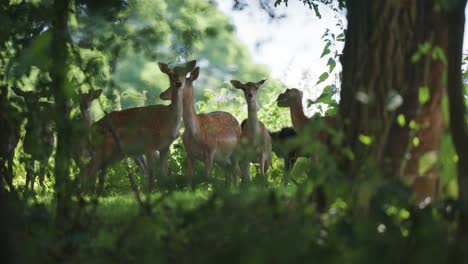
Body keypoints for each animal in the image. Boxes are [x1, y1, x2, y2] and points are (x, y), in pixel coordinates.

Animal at [82, 59, 196, 193]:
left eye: (185, 72)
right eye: (170, 73)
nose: (178, 83)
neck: (167, 121)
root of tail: (92, 127)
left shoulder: (165, 147)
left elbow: (164, 174)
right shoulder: (149, 145)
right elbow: (152, 173)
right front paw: (151, 192)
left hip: (117, 153)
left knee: (95, 169)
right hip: (104, 147)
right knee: (88, 168)